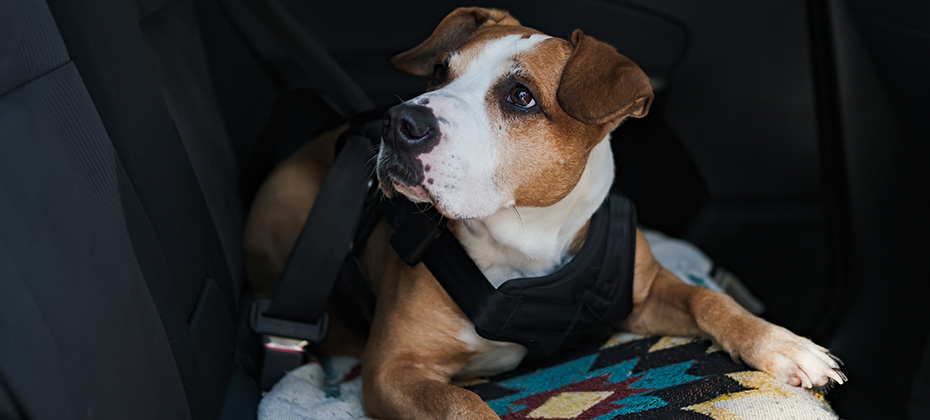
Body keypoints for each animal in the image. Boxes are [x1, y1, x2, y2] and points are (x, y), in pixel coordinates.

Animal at [243, 7, 844, 420]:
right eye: (439, 71)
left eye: (520, 97)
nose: (400, 123)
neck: (523, 240)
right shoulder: (392, 370)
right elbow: (464, 404)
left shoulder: (645, 292)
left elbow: (709, 300)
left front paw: (784, 344)